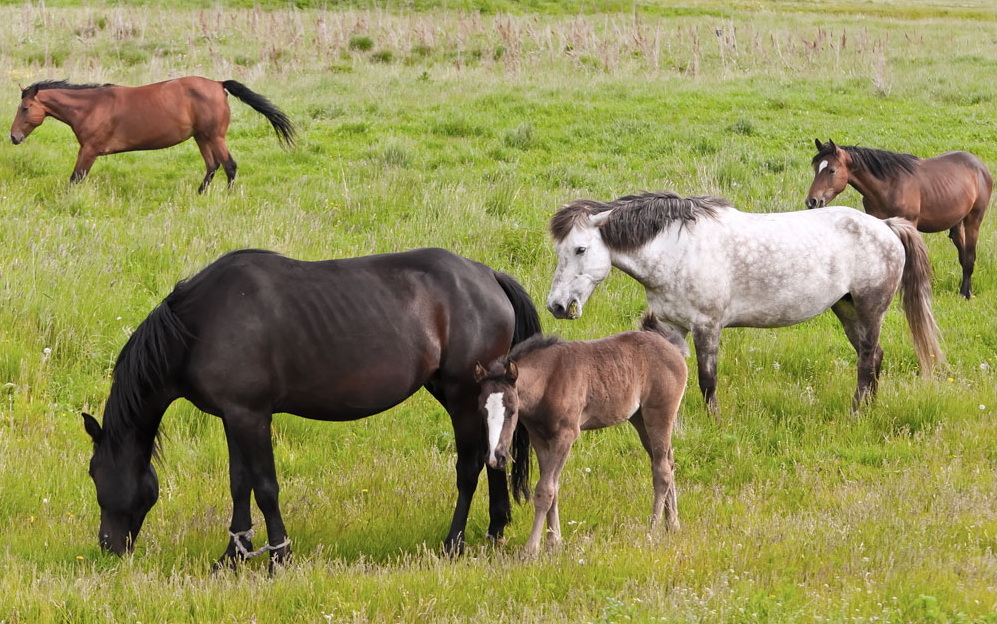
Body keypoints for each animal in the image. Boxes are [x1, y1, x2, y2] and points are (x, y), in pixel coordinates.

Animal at [8, 77, 296, 193]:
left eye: (25, 108)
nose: (13, 137)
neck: (91, 107)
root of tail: (218, 84)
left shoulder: (89, 150)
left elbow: (75, 179)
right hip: (201, 137)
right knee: (212, 166)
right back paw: (199, 194)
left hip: (215, 137)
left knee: (229, 166)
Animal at [81, 246, 540, 568]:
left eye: (94, 473)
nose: (108, 547)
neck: (199, 325)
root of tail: (488, 276)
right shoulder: (233, 416)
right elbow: (239, 485)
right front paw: (232, 558)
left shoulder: (251, 416)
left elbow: (265, 487)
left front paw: (278, 558)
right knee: (493, 454)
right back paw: (495, 529)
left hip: (461, 395)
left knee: (469, 466)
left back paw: (453, 543)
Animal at [472, 312, 688, 556]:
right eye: (481, 410)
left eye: (511, 410)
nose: (495, 457)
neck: (548, 380)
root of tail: (671, 346)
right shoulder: (540, 438)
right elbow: (553, 488)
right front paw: (554, 543)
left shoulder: (565, 436)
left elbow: (545, 490)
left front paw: (531, 549)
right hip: (640, 419)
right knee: (668, 462)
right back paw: (672, 524)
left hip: (659, 415)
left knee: (661, 470)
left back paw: (653, 529)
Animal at [544, 190, 940, 414]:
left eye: (580, 249)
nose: (556, 306)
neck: (677, 248)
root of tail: (886, 226)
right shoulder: (672, 327)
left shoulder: (707, 326)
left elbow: (707, 379)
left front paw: (714, 422)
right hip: (846, 309)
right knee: (873, 356)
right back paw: (868, 408)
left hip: (871, 309)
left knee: (868, 360)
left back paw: (857, 413)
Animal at [804, 140, 992, 300]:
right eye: (816, 168)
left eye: (832, 170)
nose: (812, 201)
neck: (889, 185)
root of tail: (981, 167)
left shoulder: (909, 225)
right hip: (957, 224)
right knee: (963, 256)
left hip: (974, 220)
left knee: (969, 257)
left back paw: (966, 294)